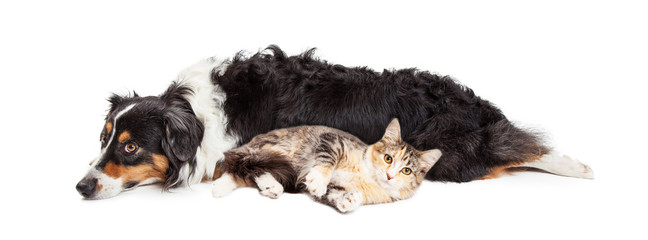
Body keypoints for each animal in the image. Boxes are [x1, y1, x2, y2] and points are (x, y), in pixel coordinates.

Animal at [74, 45, 592, 199]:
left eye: (130, 147)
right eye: (103, 139)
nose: (81, 186)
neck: (194, 115)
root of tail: (478, 104)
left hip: (448, 154)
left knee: (507, 152)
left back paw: (577, 166)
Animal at [210, 119, 442, 213]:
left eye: (406, 171)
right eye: (388, 158)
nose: (390, 175)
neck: (367, 177)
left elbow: (336, 194)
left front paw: (349, 200)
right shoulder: (332, 140)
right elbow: (326, 161)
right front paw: (318, 180)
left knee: (246, 171)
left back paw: (269, 186)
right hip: (270, 151)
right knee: (240, 164)